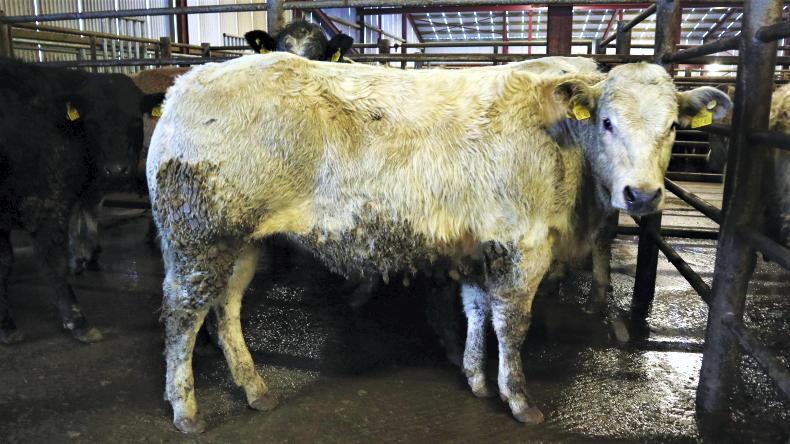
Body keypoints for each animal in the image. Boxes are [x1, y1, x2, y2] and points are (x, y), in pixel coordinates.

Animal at [0, 57, 162, 344]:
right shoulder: (45, 201)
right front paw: (76, 321)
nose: (117, 169)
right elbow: (48, 261)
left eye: (135, 120)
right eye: (92, 122)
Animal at [146, 53, 731, 433]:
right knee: (182, 313)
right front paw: (518, 399)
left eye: (674, 127)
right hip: (199, 236)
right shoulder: (524, 246)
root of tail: (187, 82)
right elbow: (511, 325)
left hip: (242, 242)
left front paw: (475, 378)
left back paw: (255, 389)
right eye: (607, 122)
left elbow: (476, 312)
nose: (642, 194)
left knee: (225, 309)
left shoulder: (480, 247)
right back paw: (187, 410)